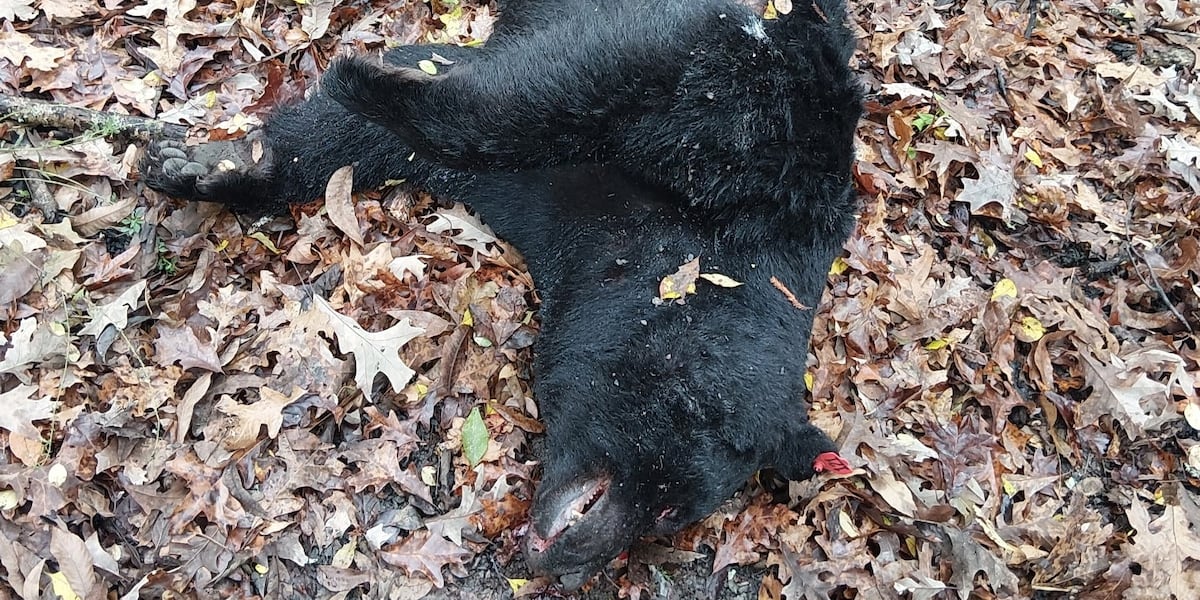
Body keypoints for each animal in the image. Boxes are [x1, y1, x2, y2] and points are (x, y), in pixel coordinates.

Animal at [140, 0, 862, 589]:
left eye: (667, 517)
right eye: (662, 497)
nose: (561, 569)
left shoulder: (554, 215)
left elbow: (378, 146)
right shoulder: (755, 136)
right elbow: (574, 84)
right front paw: (362, 81)